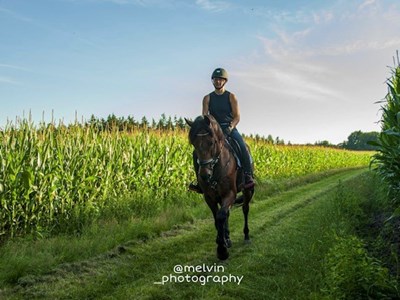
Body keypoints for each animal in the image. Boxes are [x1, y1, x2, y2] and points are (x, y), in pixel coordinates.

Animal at [186, 115, 255, 260]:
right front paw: (222, 241)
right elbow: (217, 219)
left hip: (248, 190)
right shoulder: (209, 197)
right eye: (194, 144)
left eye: (211, 142)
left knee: (245, 209)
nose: (204, 175)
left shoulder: (230, 193)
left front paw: (222, 250)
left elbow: (221, 216)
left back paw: (246, 235)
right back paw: (227, 238)